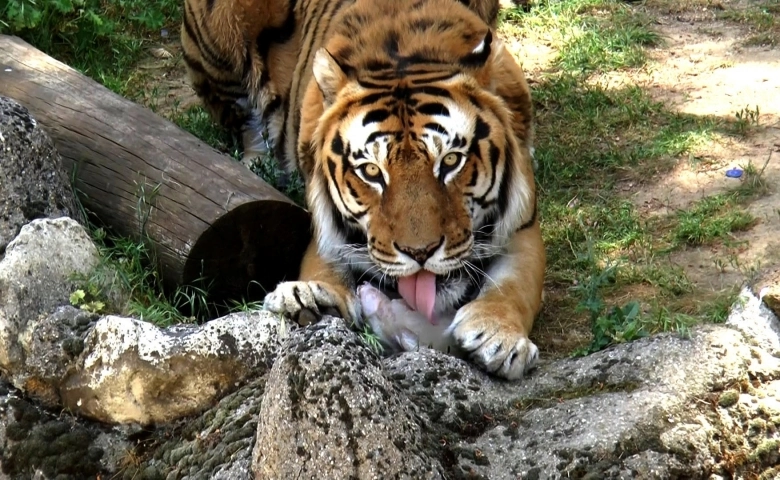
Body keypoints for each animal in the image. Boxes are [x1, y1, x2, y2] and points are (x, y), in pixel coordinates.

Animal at [183, 0, 548, 378]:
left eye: (450, 161)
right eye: (372, 171)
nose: (421, 254)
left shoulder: (522, 226)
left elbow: (514, 286)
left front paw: (500, 337)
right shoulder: (325, 232)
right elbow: (321, 266)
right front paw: (310, 300)